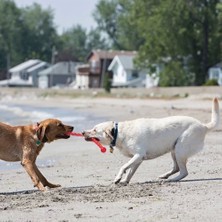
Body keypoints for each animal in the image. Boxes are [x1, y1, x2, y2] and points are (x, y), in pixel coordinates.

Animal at [82, 98, 219, 184]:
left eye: (94, 130)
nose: (83, 132)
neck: (119, 133)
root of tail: (203, 126)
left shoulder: (138, 155)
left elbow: (123, 167)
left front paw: (118, 178)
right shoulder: (138, 159)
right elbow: (130, 171)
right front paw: (125, 181)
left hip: (180, 149)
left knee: (184, 172)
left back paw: (171, 180)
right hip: (174, 150)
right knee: (177, 168)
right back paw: (165, 176)